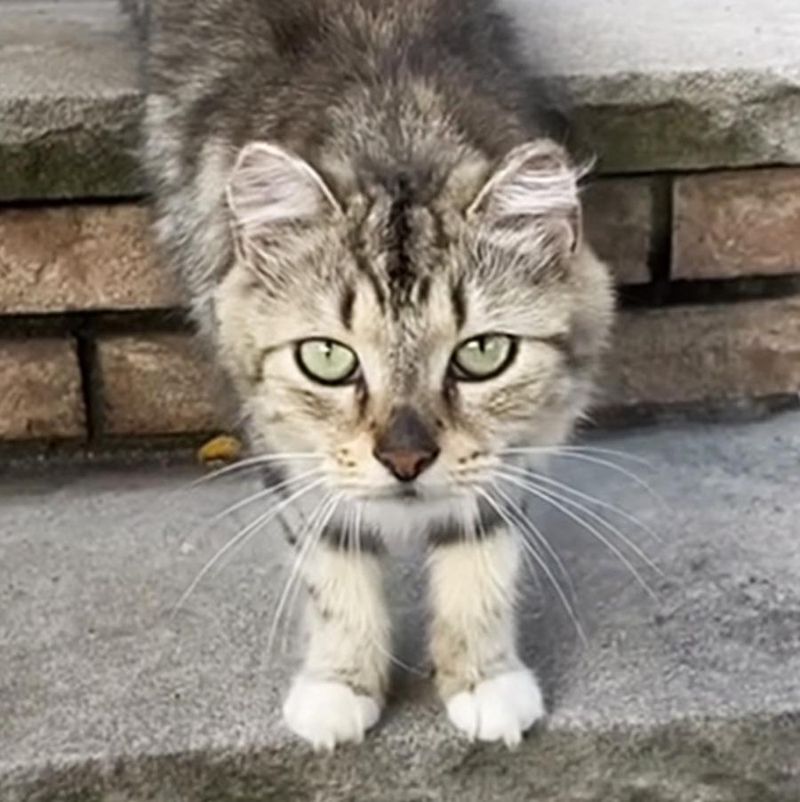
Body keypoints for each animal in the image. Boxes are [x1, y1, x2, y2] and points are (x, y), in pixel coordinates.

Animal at [144, 0, 612, 752]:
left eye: (483, 353)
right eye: (328, 359)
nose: (405, 459)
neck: (393, 133)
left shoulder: (513, 452)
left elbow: (481, 562)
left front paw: (483, 680)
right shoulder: (288, 450)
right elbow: (334, 573)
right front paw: (340, 686)